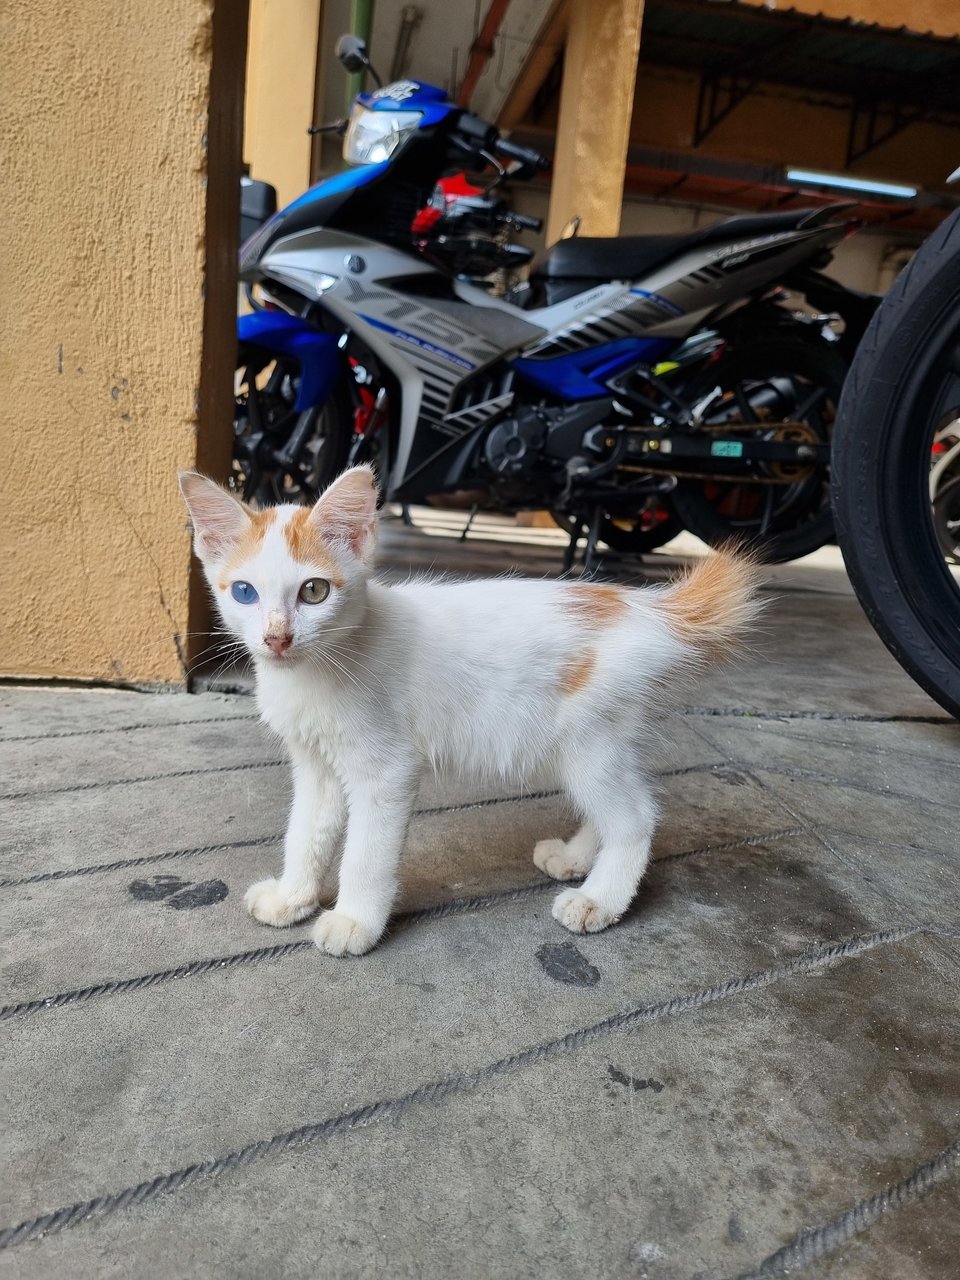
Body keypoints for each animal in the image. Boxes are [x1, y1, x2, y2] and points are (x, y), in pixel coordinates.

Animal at [176, 465, 762, 957]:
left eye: (314, 591)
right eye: (244, 592)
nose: (276, 639)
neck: (319, 669)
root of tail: (647, 607)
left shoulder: (388, 770)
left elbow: (366, 853)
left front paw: (355, 921)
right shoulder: (315, 763)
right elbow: (306, 831)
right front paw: (292, 897)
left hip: (589, 738)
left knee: (636, 818)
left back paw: (599, 899)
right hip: (599, 740)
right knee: (622, 806)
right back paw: (576, 858)